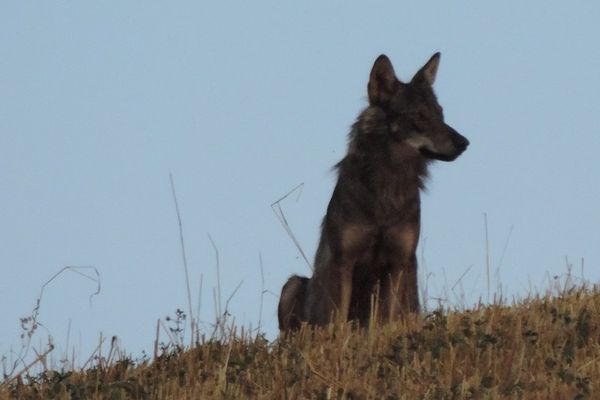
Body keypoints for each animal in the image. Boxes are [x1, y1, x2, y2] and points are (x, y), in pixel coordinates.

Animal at [278, 52, 468, 332]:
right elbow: (337, 319)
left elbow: (386, 319)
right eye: (419, 115)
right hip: (292, 285)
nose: (465, 143)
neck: (387, 191)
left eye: (440, 114)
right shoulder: (344, 260)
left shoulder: (399, 262)